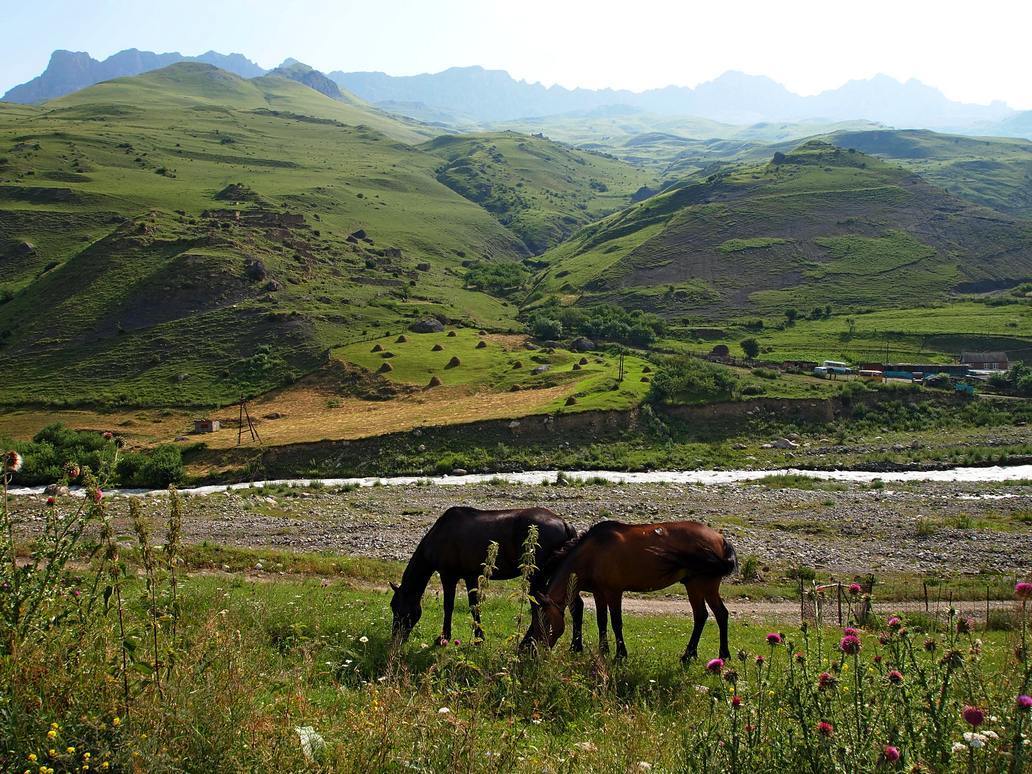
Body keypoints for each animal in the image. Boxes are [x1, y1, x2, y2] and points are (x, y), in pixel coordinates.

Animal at [388, 505, 586, 643]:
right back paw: (575, 646)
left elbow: (448, 606)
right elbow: (473, 605)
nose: (396, 637)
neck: (438, 536)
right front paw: (479, 636)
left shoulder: (448, 576)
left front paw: (444, 637)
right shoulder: (470, 576)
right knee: (574, 605)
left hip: (538, 577)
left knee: (541, 605)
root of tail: (565, 524)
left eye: (397, 607)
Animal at [528, 522, 738, 660]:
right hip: (695, 584)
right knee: (708, 615)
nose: (530, 649)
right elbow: (601, 621)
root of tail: (720, 538)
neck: (592, 554)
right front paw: (604, 651)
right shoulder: (599, 592)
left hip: (703, 584)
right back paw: (697, 655)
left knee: (714, 614)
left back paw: (714, 655)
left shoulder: (613, 592)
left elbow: (616, 622)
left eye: (544, 621)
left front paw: (620, 655)